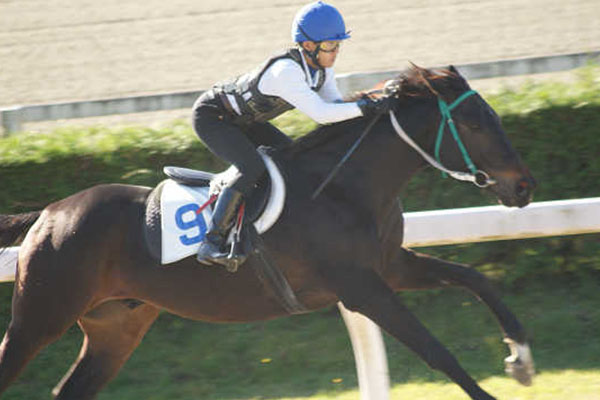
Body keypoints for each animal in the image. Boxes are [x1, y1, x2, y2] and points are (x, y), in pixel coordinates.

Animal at [0, 65, 536, 400]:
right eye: (475, 123)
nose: (524, 185)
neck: (344, 187)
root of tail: (48, 214)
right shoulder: (362, 289)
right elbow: (437, 352)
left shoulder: (392, 267)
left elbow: (474, 277)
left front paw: (521, 358)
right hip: (40, 318)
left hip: (116, 327)